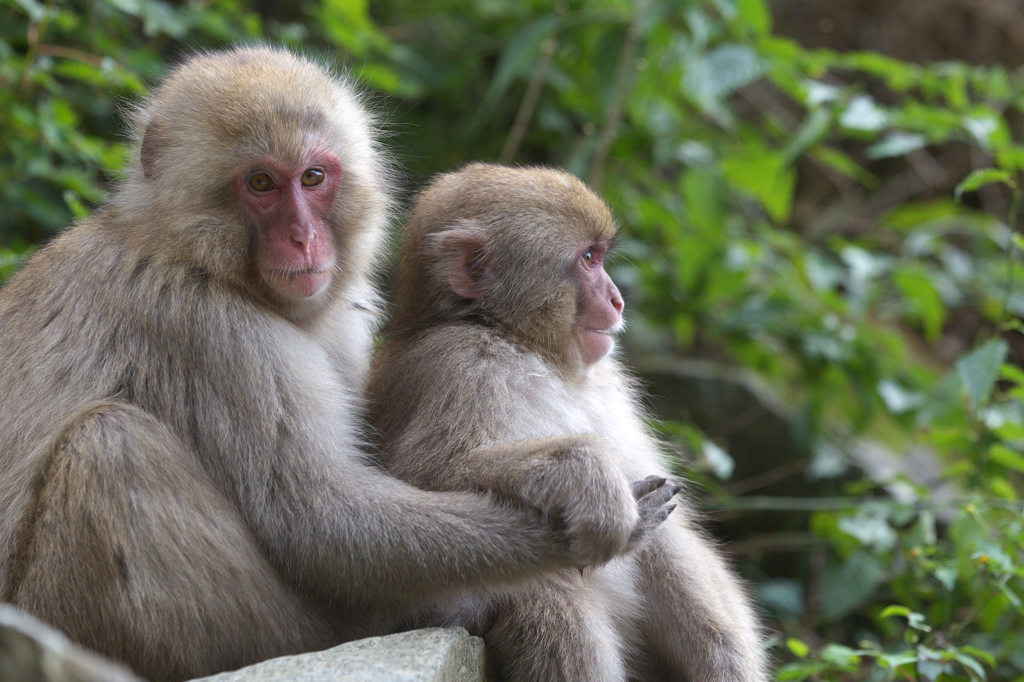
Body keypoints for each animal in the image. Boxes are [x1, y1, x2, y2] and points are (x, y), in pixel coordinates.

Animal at [0, 49, 659, 679]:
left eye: (313, 177)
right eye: (260, 182)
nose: (302, 238)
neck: (193, 252)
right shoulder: (207, 327)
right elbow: (319, 524)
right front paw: (572, 495)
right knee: (113, 445)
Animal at [368, 164, 770, 679]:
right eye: (587, 259)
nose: (617, 300)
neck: (520, 341)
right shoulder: (457, 364)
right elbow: (420, 481)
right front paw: (589, 473)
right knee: (545, 585)